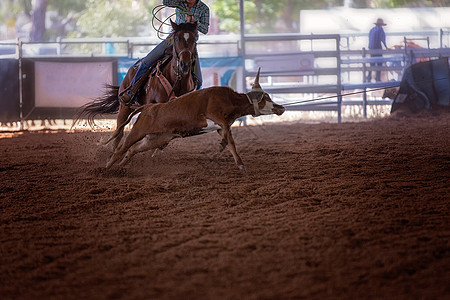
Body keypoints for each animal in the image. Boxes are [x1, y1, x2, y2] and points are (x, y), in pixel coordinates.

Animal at [74, 19, 199, 149]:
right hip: (125, 107)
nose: (185, 64)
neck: (177, 81)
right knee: (119, 132)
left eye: (195, 39)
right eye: (176, 39)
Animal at [104, 68, 284, 171]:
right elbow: (226, 131)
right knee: (121, 148)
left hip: (157, 138)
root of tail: (147, 108)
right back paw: (107, 168)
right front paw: (221, 145)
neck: (229, 99)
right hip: (138, 131)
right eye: (266, 97)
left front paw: (240, 164)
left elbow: (231, 141)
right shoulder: (214, 115)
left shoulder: (220, 127)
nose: (281, 107)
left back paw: (120, 166)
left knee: (133, 150)